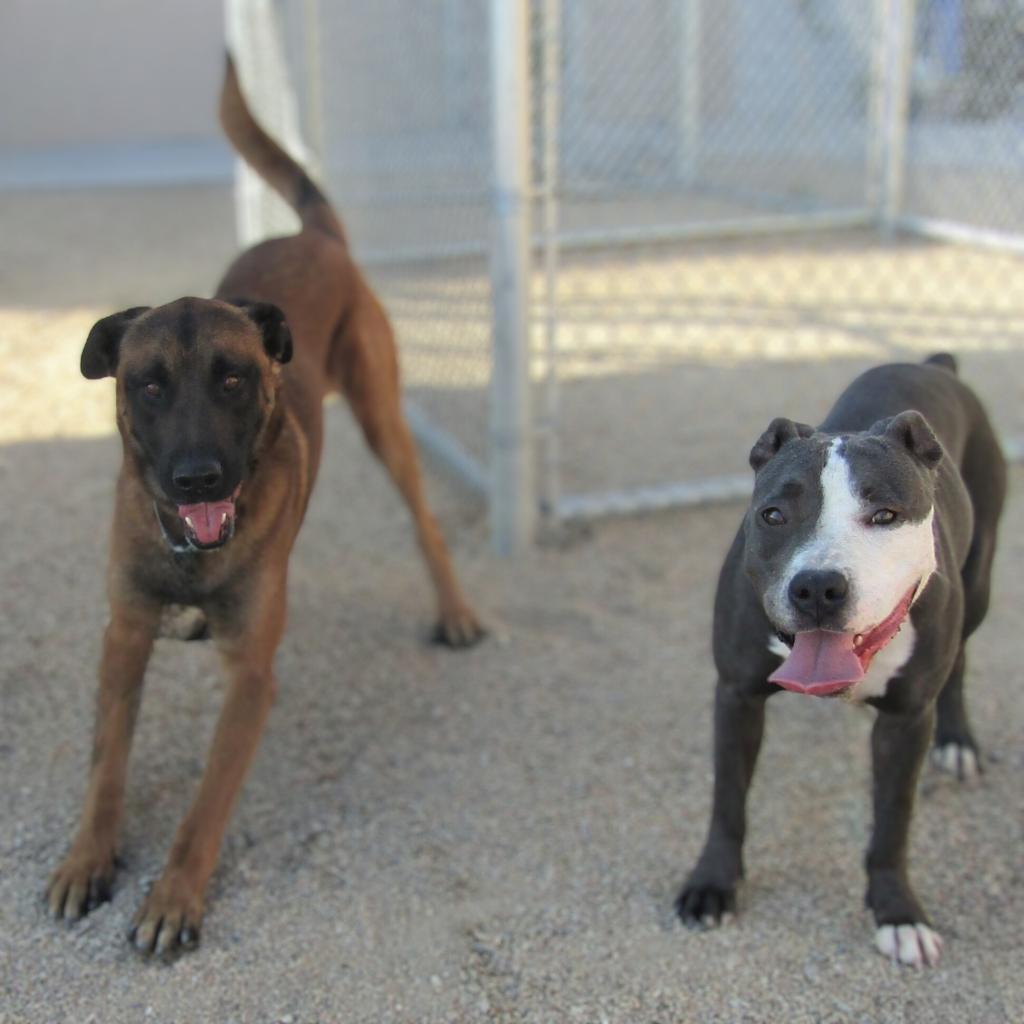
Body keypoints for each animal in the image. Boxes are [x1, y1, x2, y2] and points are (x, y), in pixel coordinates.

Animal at [44, 56, 483, 954]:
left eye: (234, 379)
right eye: (148, 385)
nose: (198, 478)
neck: (189, 550)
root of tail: (312, 236)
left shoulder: (248, 676)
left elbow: (205, 801)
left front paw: (174, 896)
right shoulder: (122, 640)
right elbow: (106, 767)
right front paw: (86, 860)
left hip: (386, 422)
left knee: (425, 523)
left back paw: (455, 611)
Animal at [675, 356, 1003, 962]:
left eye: (886, 514)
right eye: (773, 514)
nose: (818, 587)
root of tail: (931, 364)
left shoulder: (906, 720)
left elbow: (892, 822)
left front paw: (898, 912)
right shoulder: (736, 694)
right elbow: (728, 801)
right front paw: (712, 884)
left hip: (979, 584)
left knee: (960, 664)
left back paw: (957, 743)